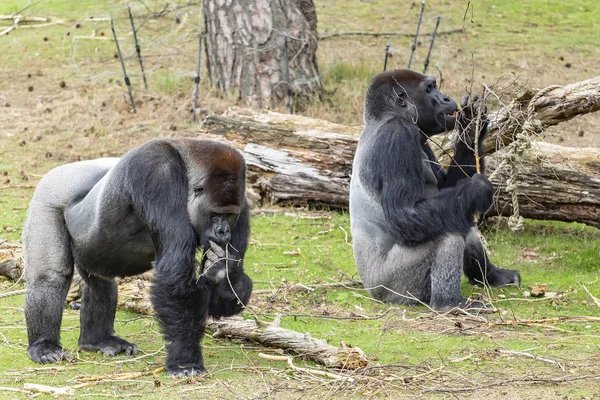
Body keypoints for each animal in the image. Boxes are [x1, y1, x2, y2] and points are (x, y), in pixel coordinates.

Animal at [23, 138, 252, 376]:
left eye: (230, 215)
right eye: (216, 215)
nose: (223, 232)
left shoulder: (242, 204)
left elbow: (220, 300)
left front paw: (222, 272)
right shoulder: (157, 171)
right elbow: (175, 271)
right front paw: (185, 359)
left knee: (100, 283)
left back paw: (96, 340)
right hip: (50, 192)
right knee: (50, 276)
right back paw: (44, 345)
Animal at [352, 69, 520, 312]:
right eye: (430, 89)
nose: (446, 98)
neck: (384, 118)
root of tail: (371, 291)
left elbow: (449, 191)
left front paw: (471, 125)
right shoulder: (398, 134)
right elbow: (404, 215)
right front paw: (477, 189)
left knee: (453, 214)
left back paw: (491, 276)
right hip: (394, 288)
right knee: (445, 231)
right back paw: (448, 303)